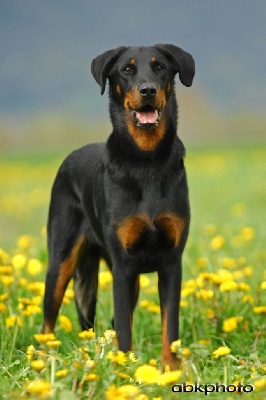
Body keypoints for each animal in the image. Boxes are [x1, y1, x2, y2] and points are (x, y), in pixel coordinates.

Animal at [42, 43, 194, 368]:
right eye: (127, 69)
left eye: (160, 67)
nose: (148, 90)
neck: (146, 160)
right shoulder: (124, 266)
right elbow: (124, 329)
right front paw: (124, 370)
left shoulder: (171, 261)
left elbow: (169, 326)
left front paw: (171, 370)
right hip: (60, 261)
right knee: (48, 320)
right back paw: (45, 361)